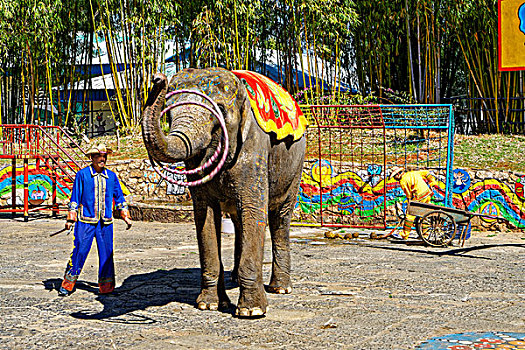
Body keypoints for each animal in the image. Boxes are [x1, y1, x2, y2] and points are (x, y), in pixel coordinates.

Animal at [142, 66, 308, 318]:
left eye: (218, 111)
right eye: (168, 117)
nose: (158, 78)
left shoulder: (253, 146)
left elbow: (253, 210)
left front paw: (251, 312)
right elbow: (205, 214)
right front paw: (208, 305)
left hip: (295, 165)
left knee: (280, 217)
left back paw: (280, 289)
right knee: (239, 221)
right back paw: (235, 280)